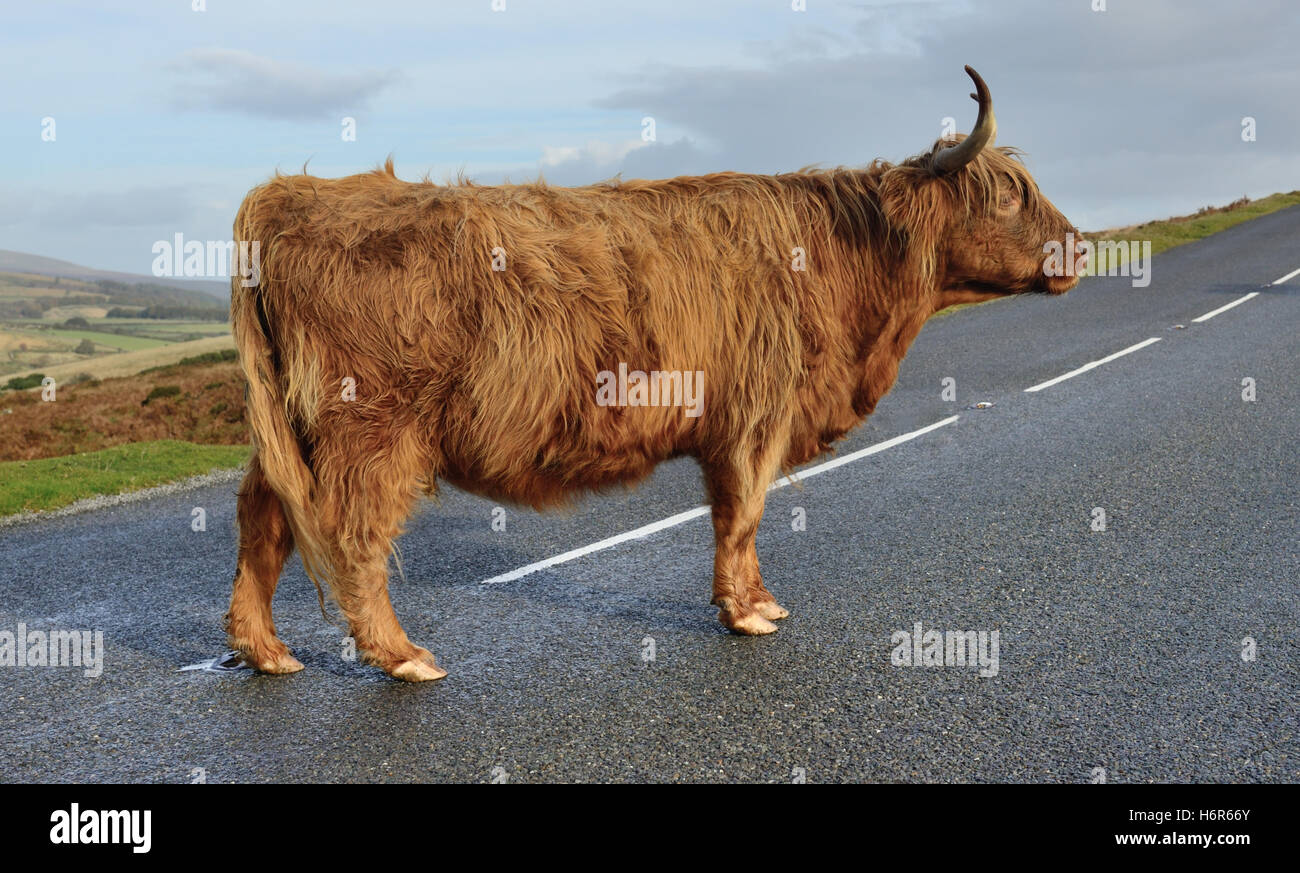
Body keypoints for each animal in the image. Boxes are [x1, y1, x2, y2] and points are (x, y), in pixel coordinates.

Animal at [226, 68, 1086, 680]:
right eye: (1009, 195)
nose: (1079, 247)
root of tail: (291, 193)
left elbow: (742, 520)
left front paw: (760, 600)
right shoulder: (753, 416)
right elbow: (742, 514)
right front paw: (745, 612)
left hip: (298, 429)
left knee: (262, 516)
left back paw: (265, 649)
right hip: (372, 428)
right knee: (354, 535)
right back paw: (402, 655)